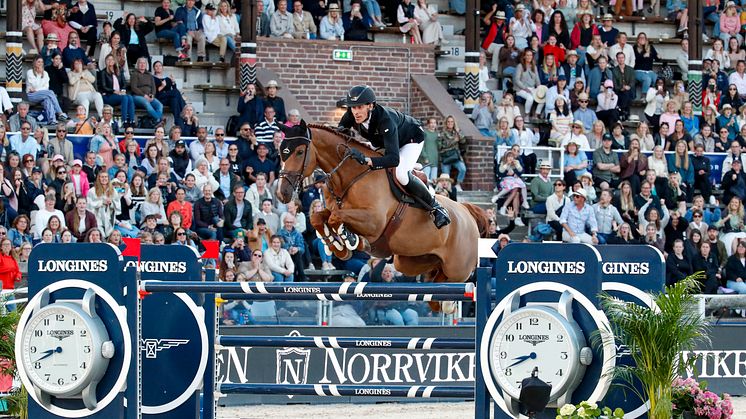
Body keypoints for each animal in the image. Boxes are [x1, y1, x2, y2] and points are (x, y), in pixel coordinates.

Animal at [274, 121, 488, 308]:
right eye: (280, 152)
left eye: (299, 152)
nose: (282, 193)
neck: (350, 177)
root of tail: (467, 212)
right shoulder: (334, 210)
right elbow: (318, 217)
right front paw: (338, 246)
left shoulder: (373, 222)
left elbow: (336, 219)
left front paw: (351, 240)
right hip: (410, 262)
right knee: (435, 279)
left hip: (458, 268)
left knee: (454, 280)